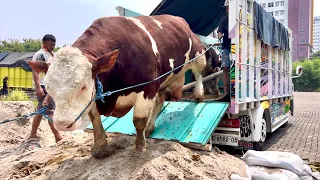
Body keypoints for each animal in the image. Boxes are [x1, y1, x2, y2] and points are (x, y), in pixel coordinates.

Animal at [27, 14, 208, 158]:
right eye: (49, 88)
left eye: (83, 86)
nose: (62, 124)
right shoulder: (95, 97)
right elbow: (95, 121)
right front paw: (100, 148)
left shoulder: (147, 88)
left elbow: (138, 121)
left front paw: (139, 147)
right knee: (160, 99)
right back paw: (151, 127)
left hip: (199, 54)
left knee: (199, 73)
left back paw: (199, 94)